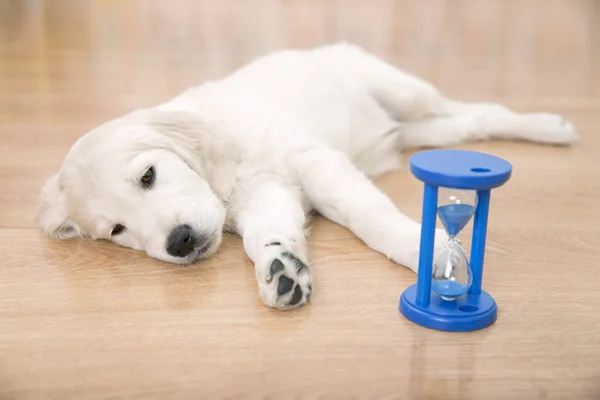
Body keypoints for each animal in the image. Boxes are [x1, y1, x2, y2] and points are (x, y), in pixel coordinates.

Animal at [36, 44, 576, 310]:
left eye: (148, 175)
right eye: (117, 230)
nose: (180, 241)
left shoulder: (315, 162)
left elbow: (365, 213)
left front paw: (431, 252)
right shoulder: (269, 194)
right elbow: (267, 235)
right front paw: (282, 271)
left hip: (405, 91)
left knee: (478, 112)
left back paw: (551, 127)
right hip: (415, 125)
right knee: (460, 124)